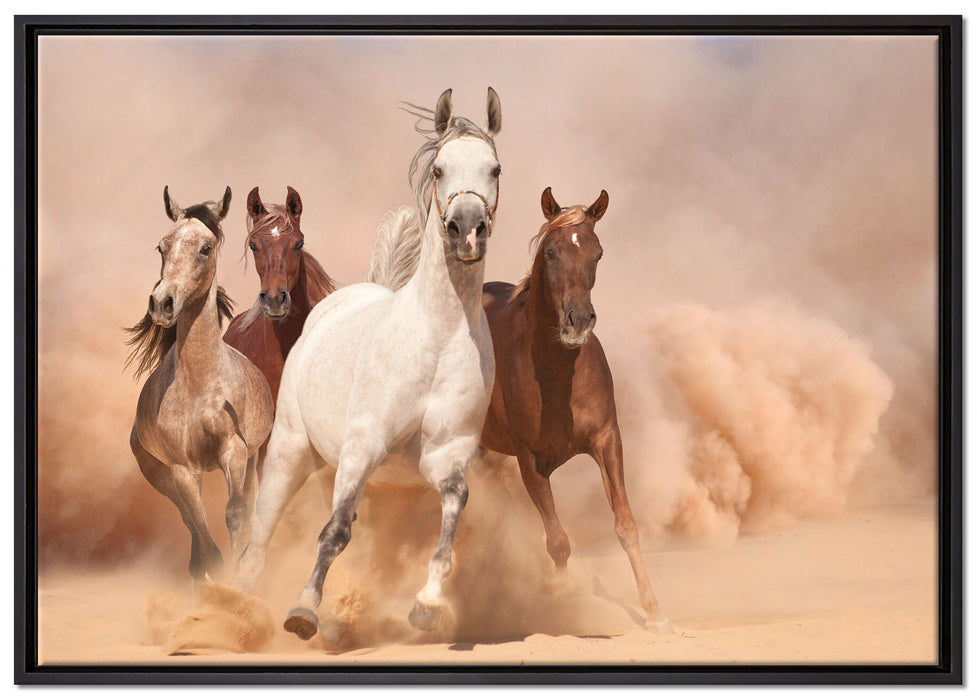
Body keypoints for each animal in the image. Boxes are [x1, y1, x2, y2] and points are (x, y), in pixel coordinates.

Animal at [125, 186, 274, 583]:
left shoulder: (234, 451)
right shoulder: (182, 469)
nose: (162, 303)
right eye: (162, 247)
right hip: (160, 474)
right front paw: (218, 579)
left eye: (205, 248)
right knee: (189, 522)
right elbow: (205, 537)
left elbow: (236, 514)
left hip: (253, 458)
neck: (201, 387)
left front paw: (239, 579)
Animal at [236, 87, 503, 641]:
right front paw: (303, 611)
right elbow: (333, 532)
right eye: (440, 169)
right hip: (291, 450)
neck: (437, 337)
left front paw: (427, 604)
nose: (467, 230)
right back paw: (235, 604)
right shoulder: (364, 443)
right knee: (260, 537)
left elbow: (452, 514)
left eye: (495, 168)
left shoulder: (446, 454)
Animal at [479, 187, 672, 632]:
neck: (556, 373)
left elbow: (626, 525)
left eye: (597, 254)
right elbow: (558, 541)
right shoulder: (529, 461)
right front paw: (563, 600)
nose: (578, 320)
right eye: (551, 252)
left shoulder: (606, 440)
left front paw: (655, 612)